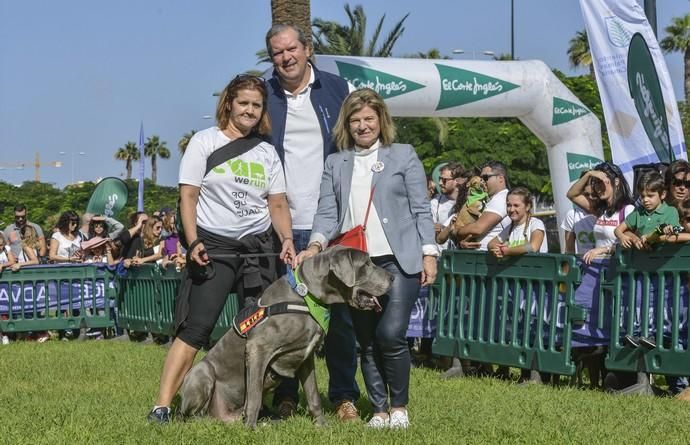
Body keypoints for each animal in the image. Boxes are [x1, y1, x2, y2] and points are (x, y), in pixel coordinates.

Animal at [177, 246, 392, 426]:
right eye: (366, 264)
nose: (393, 277)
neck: (307, 297)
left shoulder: (307, 356)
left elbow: (313, 396)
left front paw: (322, 426)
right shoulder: (257, 349)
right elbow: (254, 396)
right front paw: (250, 429)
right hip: (201, 372)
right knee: (190, 415)